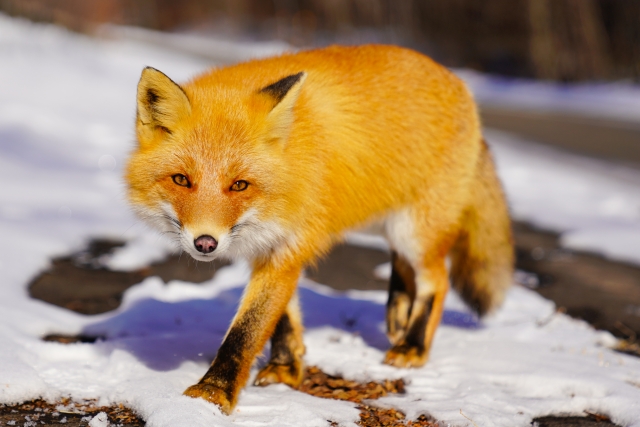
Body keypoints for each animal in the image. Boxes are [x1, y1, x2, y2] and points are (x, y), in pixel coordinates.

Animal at [126, 44, 516, 414]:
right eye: (181, 180)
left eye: (239, 185)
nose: (205, 243)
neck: (290, 166)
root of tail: (458, 81)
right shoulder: (268, 243)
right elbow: (282, 316)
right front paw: (287, 368)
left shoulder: (288, 243)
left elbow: (247, 329)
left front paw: (212, 394)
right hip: (388, 223)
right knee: (405, 266)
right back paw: (398, 313)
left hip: (416, 231)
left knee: (437, 280)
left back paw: (413, 345)